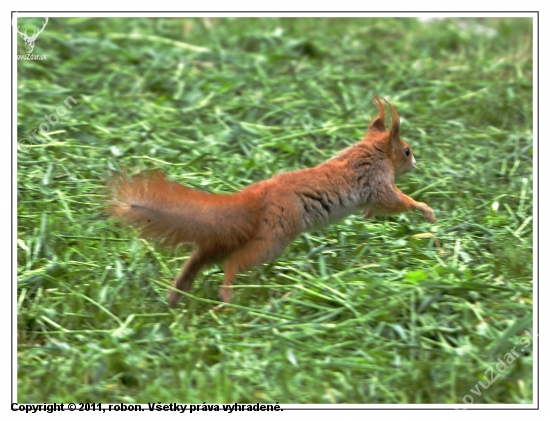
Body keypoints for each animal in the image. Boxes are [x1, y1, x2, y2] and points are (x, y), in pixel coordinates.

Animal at [108, 96, 438, 304]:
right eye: (406, 150)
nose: (416, 162)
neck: (371, 151)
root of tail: (256, 198)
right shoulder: (377, 180)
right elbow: (395, 201)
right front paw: (425, 210)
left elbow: (378, 207)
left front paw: (371, 216)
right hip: (275, 235)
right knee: (234, 261)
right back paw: (225, 296)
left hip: (230, 236)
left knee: (200, 257)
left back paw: (177, 294)